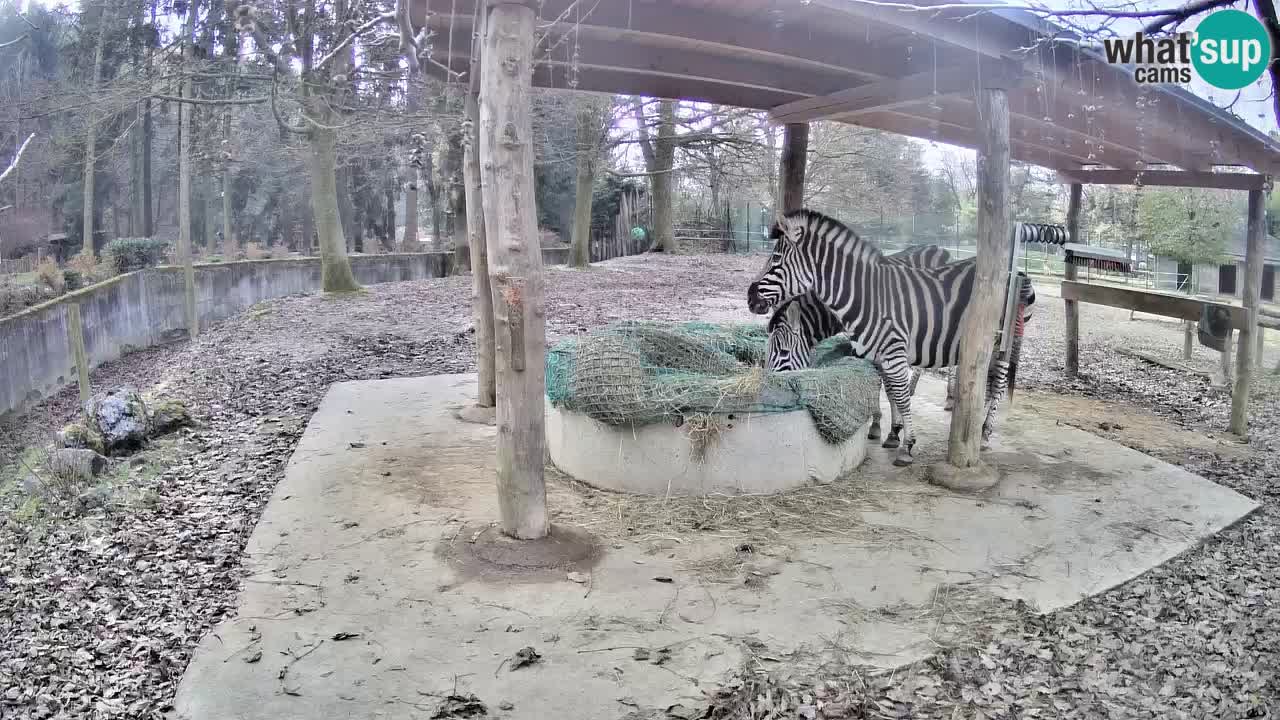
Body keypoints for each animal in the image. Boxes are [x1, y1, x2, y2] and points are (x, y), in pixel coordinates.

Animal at [757, 242, 952, 443]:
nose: (769, 393)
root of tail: (938, 248)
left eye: (784, 352)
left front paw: (890, 429)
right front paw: (884, 426)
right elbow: (883, 384)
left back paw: (949, 399)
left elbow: (887, 387)